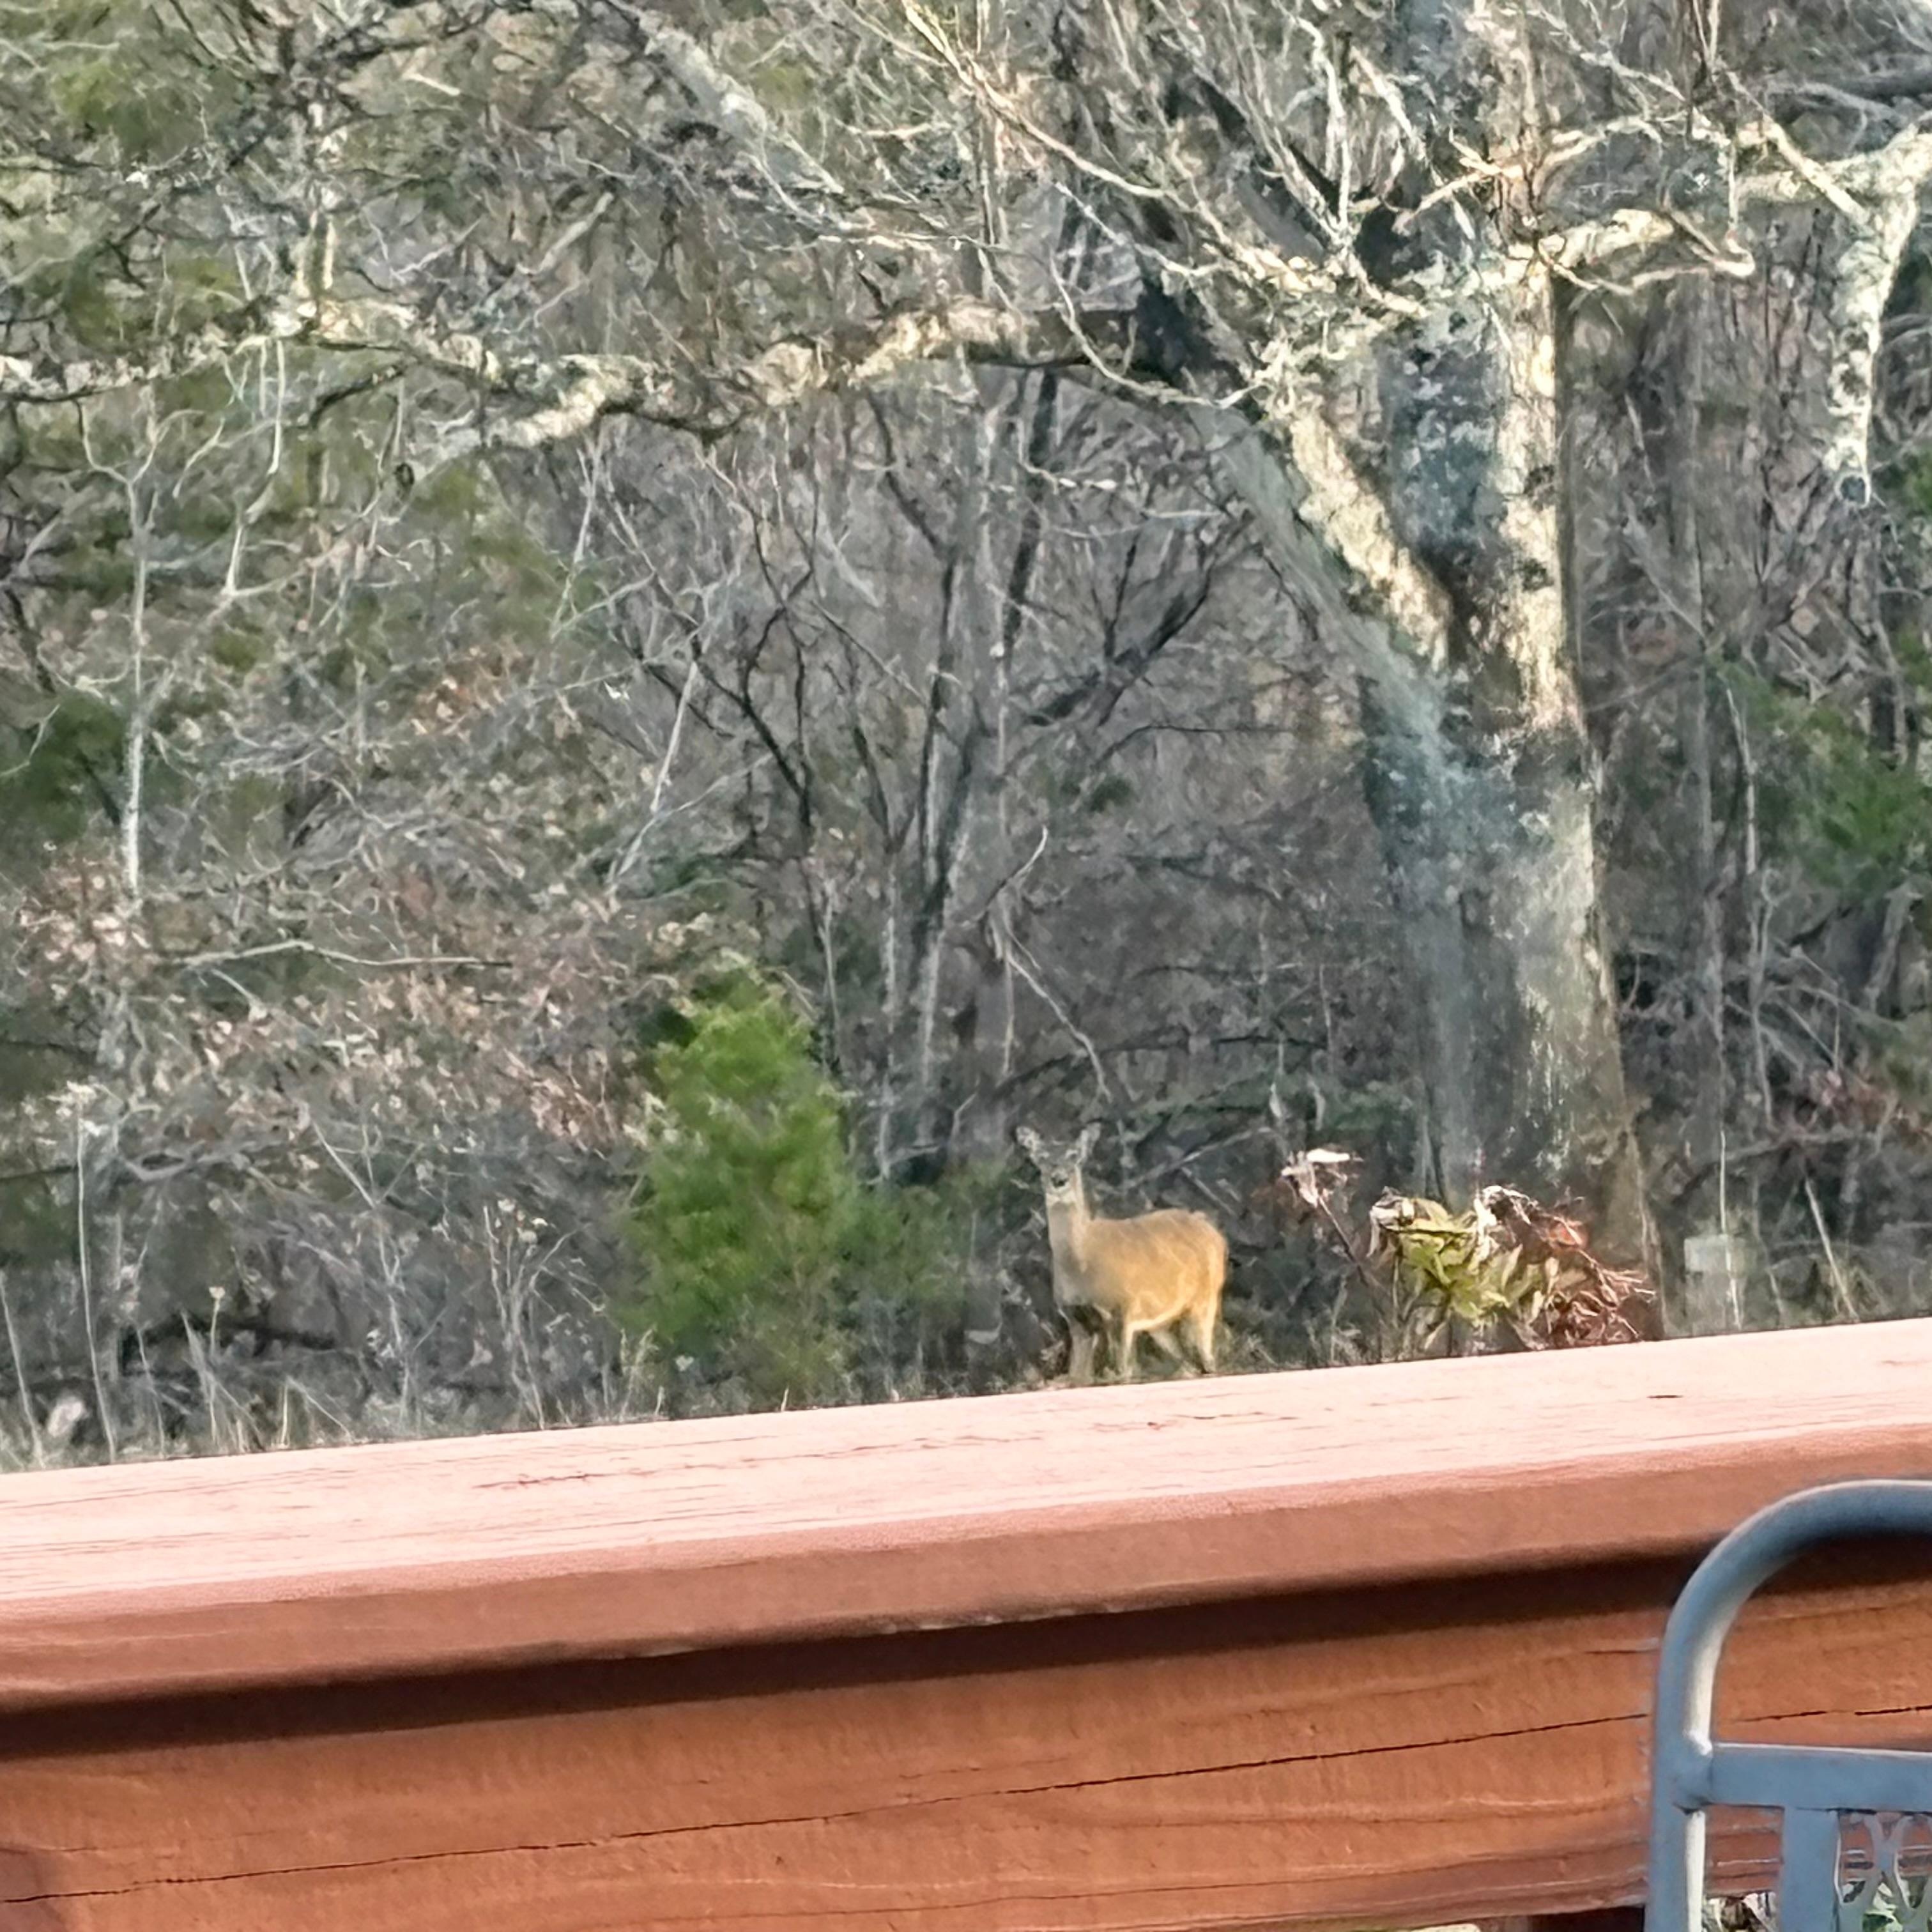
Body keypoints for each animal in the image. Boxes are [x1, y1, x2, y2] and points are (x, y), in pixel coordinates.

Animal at [1016, 1124, 1227, 1384]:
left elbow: (1122, 1372)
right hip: (1160, 1321)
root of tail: (1216, 1234)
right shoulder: (1076, 1318)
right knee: (1189, 1361)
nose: (1059, 1180)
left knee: (1207, 1358)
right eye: (1042, 1158)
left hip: (1206, 1296)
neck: (1082, 1264)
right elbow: (1079, 1378)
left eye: (1075, 1156)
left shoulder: (1122, 1307)